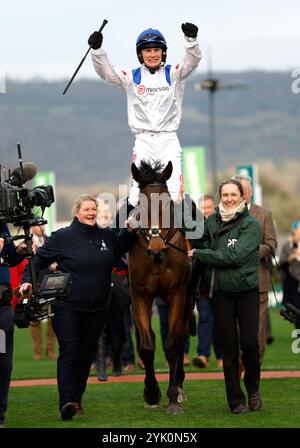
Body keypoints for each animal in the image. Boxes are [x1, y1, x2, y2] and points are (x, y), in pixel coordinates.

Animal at [127, 159, 193, 414]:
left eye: (166, 203)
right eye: (140, 205)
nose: (156, 250)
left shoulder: (178, 294)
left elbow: (173, 344)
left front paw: (173, 398)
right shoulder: (139, 296)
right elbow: (146, 345)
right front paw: (152, 393)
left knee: (182, 336)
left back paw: (181, 388)